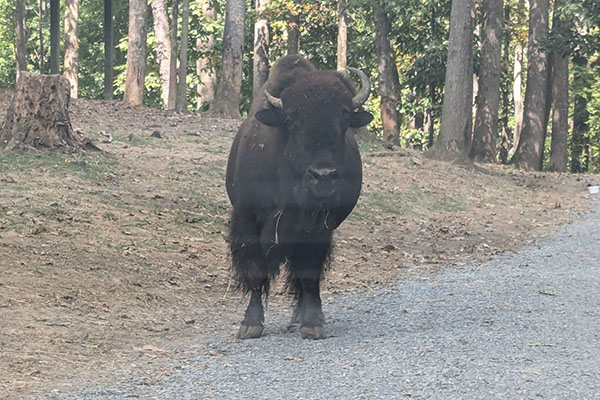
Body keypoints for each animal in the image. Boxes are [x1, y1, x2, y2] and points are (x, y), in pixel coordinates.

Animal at [227, 54, 372, 340]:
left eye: (345, 119)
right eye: (293, 120)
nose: (323, 176)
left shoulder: (317, 227)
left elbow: (308, 272)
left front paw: (312, 324)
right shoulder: (247, 219)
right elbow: (256, 270)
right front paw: (250, 324)